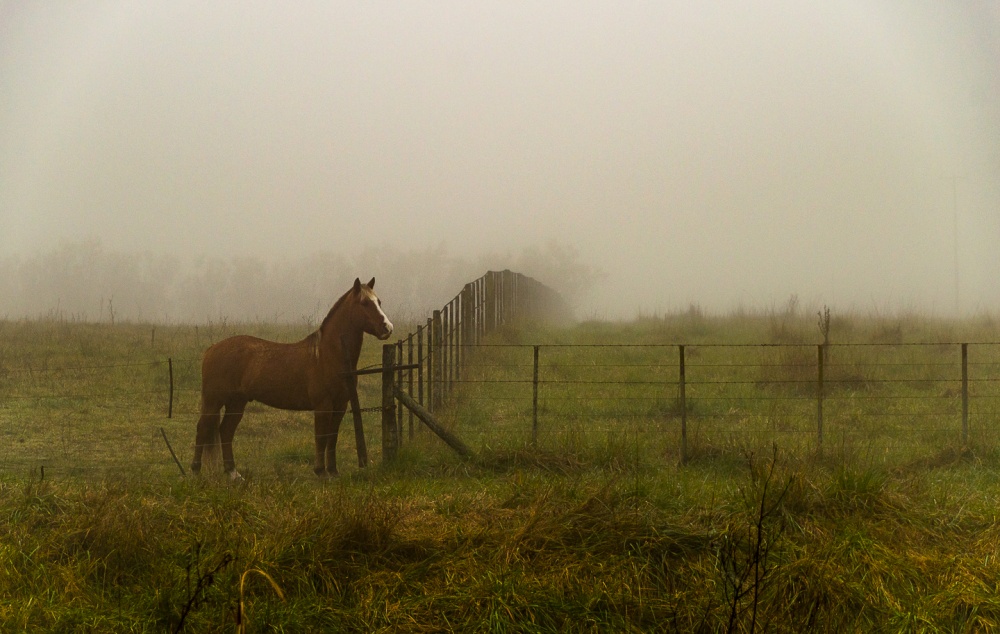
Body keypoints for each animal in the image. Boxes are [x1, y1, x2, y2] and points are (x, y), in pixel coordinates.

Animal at [189, 274, 392, 476]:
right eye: (364, 302)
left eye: (379, 301)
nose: (387, 328)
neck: (327, 355)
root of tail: (212, 348)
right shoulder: (323, 406)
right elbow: (321, 438)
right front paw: (320, 472)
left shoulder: (340, 406)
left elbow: (332, 437)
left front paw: (333, 472)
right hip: (214, 400)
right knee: (202, 429)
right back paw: (196, 471)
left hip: (236, 402)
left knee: (226, 431)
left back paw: (233, 473)